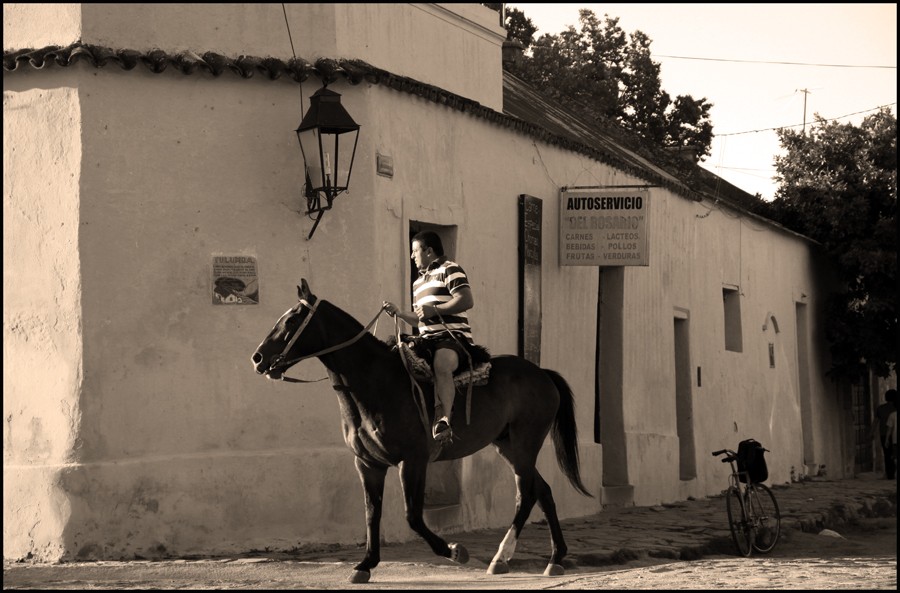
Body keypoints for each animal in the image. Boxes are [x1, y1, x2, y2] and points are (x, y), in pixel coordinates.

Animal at [251, 278, 592, 584]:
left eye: (292, 319)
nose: (258, 358)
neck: (376, 383)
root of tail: (542, 373)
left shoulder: (412, 461)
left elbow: (413, 516)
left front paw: (454, 551)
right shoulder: (368, 464)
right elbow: (371, 514)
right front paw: (365, 564)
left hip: (524, 444)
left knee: (527, 493)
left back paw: (502, 557)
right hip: (506, 444)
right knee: (543, 491)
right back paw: (554, 558)